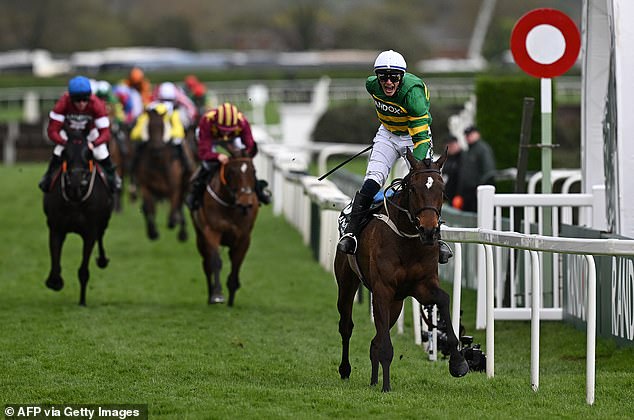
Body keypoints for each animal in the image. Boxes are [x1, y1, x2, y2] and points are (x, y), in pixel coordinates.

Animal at [43, 128, 113, 306]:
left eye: (89, 153)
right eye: (64, 154)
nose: (76, 180)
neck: (75, 198)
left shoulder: (90, 232)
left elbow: (83, 270)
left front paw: (82, 301)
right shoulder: (56, 228)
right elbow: (55, 260)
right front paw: (55, 281)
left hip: (103, 222)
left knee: (101, 236)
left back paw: (102, 260)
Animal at [134, 108, 189, 241]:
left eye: (162, 126)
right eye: (149, 127)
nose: (157, 149)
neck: (158, 163)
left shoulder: (175, 188)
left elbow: (174, 210)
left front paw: (174, 221)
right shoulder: (145, 186)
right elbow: (150, 208)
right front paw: (152, 232)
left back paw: (182, 231)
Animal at [189, 151, 258, 306]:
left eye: (253, 171)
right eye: (231, 171)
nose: (245, 202)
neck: (231, 206)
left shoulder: (244, 237)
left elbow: (236, 263)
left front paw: (231, 295)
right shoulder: (211, 231)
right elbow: (215, 261)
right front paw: (217, 295)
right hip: (200, 238)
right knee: (206, 263)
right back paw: (210, 295)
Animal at [334, 149, 466, 392]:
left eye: (442, 190)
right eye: (413, 188)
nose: (429, 230)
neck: (408, 241)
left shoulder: (422, 285)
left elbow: (443, 299)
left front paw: (458, 362)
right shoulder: (382, 289)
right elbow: (385, 344)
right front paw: (386, 387)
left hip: (396, 303)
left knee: (375, 339)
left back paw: (373, 380)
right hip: (347, 283)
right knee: (347, 326)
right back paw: (346, 370)